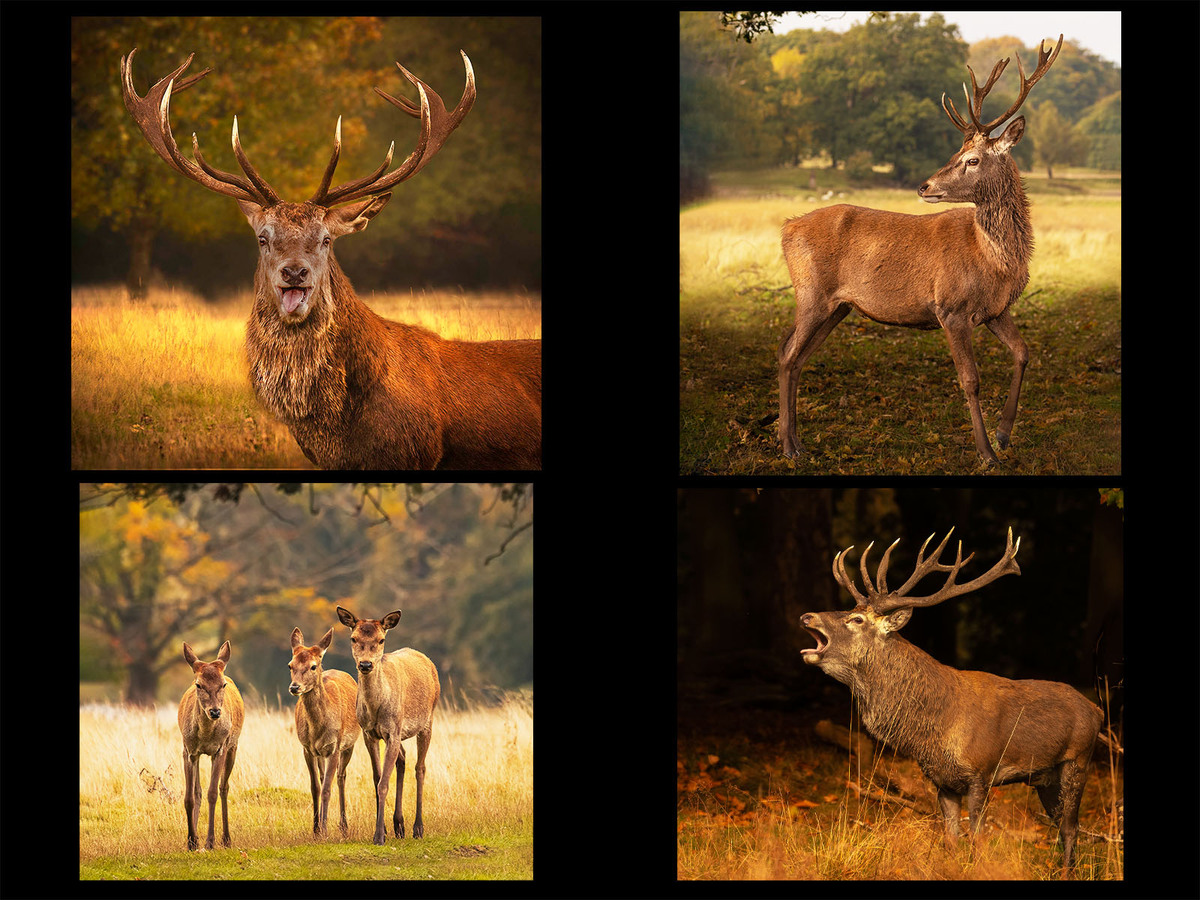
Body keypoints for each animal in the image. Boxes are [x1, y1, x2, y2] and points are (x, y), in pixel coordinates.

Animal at [178, 641, 245, 851]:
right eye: (198, 684)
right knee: (198, 791)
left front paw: (209, 842)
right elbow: (190, 797)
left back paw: (226, 838)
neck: (206, 736)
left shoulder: (220, 749)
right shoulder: (188, 750)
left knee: (224, 787)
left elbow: (213, 793)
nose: (215, 712)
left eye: (222, 684)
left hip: (233, 746)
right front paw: (191, 841)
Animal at [287, 626, 361, 837]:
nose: (294, 687)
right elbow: (315, 787)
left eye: (313, 666)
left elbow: (327, 788)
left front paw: (325, 828)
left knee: (341, 777)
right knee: (323, 778)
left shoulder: (334, 745)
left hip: (349, 744)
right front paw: (316, 828)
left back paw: (344, 825)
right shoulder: (307, 748)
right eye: (290, 665)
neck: (317, 729)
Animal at [336, 606, 440, 844]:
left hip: (427, 720)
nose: (366, 664)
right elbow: (377, 780)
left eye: (381, 639)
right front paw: (383, 830)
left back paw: (417, 828)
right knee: (402, 759)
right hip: (400, 732)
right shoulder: (370, 733)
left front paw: (378, 836)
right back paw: (399, 825)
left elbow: (384, 782)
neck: (376, 708)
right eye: (353, 638)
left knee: (420, 768)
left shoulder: (393, 731)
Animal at [778, 36, 1063, 467]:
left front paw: (1004, 434)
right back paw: (788, 445)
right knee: (787, 355)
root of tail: (786, 228)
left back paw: (795, 441)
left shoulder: (996, 309)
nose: (924, 186)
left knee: (795, 356)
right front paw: (986, 453)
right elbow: (970, 380)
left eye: (971, 159)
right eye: (955, 155)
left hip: (838, 306)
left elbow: (1024, 353)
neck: (995, 261)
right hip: (811, 293)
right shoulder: (951, 307)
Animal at [799, 527, 1103, 878]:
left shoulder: (981, 773)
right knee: (1062, 825)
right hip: (1045, 778)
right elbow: (950, 840)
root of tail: (1097, 710)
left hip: (1077, 761)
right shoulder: (943, 782)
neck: (935, 731)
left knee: (1071, 827)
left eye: (857, 619)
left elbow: (978, 838)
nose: (807, 615)